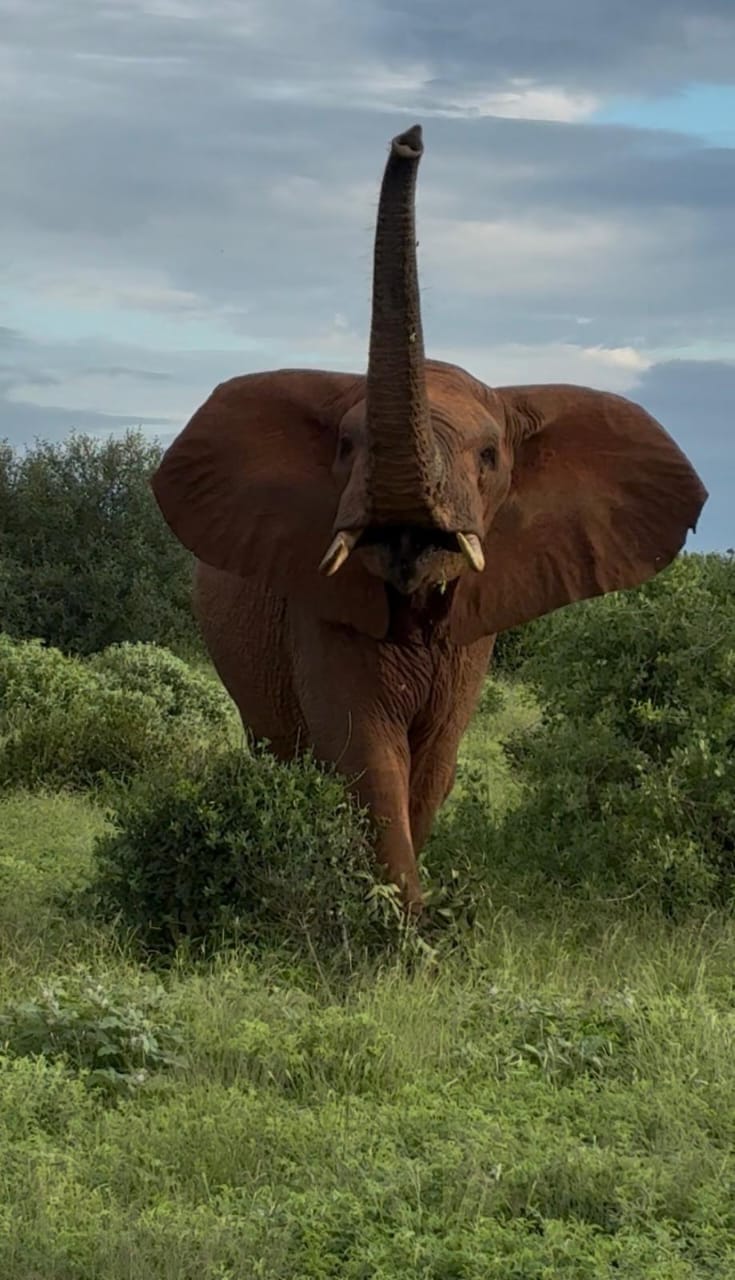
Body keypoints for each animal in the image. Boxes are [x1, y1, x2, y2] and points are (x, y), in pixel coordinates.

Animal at [151, 123, 707, 913]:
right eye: (346, 447)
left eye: (488, 457)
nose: (410, 138)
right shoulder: (319, 610)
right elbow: (364, 749)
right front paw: (399, 925)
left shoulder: (473, 630)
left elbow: (435, 759)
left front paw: (412, 920)